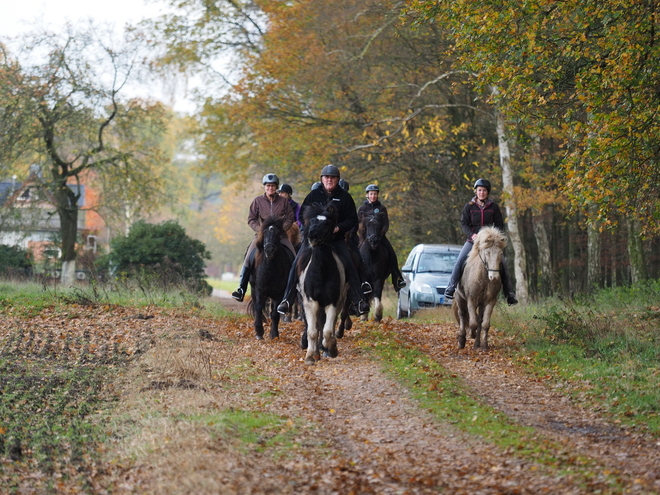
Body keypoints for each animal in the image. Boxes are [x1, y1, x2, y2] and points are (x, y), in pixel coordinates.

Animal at [298, 201, 350, 364]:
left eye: (326, 223)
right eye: (312, 220)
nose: (312, 235)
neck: (321, 272)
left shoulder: (332, 303)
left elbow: (327, 330)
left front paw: (331, 349)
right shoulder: (310, 303)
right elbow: (312, 331)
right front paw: (310, 356)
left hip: (340, 301)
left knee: (329, 326)